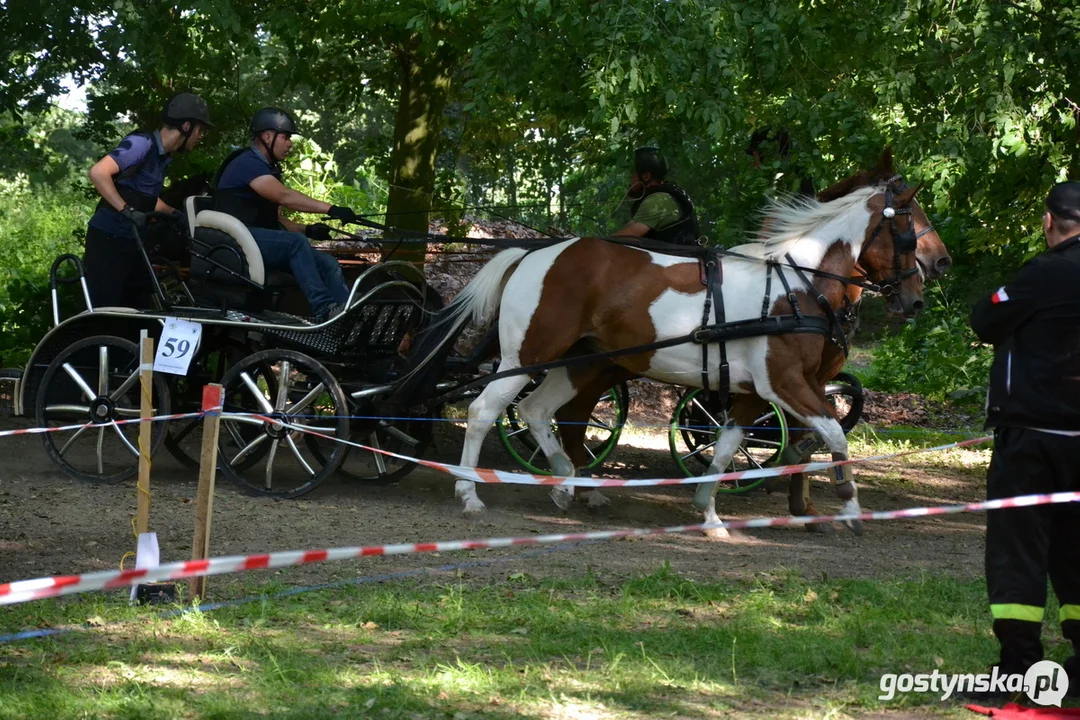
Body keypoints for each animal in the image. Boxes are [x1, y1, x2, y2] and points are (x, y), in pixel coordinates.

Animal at [416, 174, 924, 533]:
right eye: (909, 233)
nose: (916, 298)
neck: (793, 289)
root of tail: (533, 254)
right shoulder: (786, 384)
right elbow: (836, 434)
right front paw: (851, 508)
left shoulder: (753, 392)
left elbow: (728, 445)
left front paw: (709, 513)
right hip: (526, 357)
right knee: (485, 410)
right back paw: (471, 493)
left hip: (579, 363)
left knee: (541, 411)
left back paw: (566, 481)